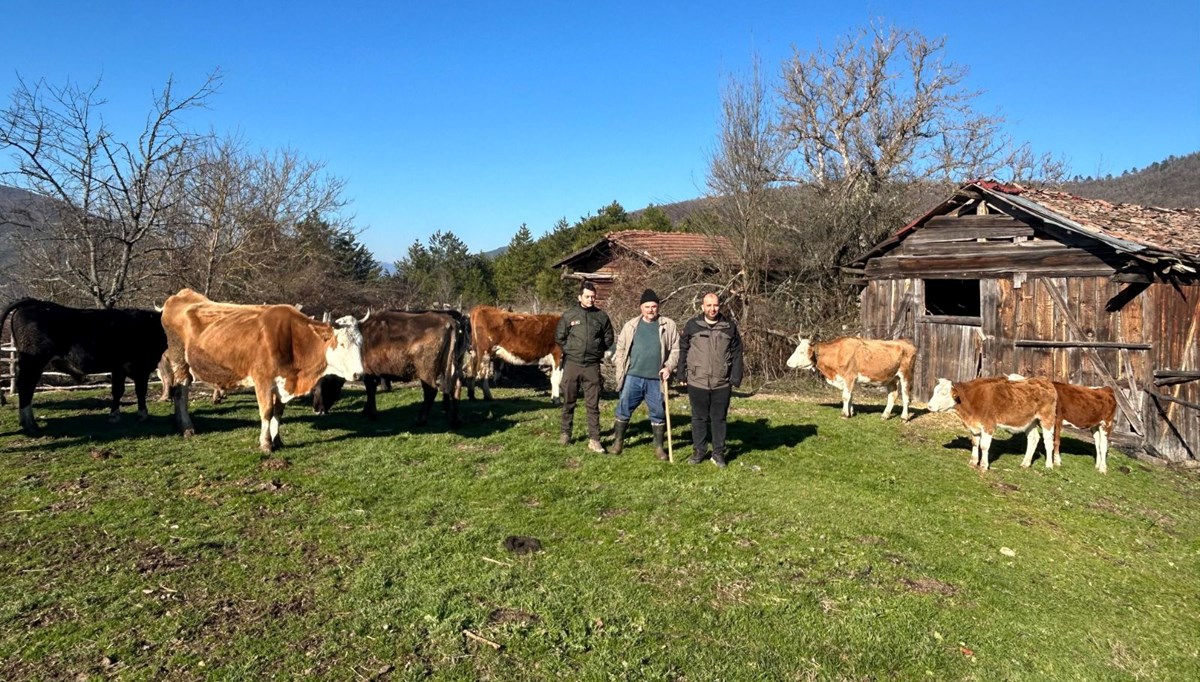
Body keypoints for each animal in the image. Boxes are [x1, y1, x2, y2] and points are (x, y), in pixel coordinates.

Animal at [0, 296, 170, 432]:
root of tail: (34, 302)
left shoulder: (119, 368)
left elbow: (117, 391)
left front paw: (114, 416)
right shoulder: (140, 366)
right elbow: (140, 391)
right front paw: (143, 414)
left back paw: (25, 421)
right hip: (34, 361)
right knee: (26, 387)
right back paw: (30, 424)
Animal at [160, 289, 364, 453]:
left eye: (361, 343)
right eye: (342, 343)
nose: (359, 374)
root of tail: (182, 295)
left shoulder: (282, 382)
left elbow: (278, 412)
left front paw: (277, 440)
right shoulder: (263, 380)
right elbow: (266, 412)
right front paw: (266, 444)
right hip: (179, 359)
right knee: (181, 391)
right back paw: (186, 427)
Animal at [314, 309, 468, 427]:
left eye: (323, 382)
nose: (316, 409)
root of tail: (448, 320)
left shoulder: (367, 373)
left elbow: (370, 391)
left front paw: (371, 414)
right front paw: (366, 412)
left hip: (426, 369)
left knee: (431, 391)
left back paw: (420, 420)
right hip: (453, 365)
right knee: (455, 386)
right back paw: (455, 419)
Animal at [787, 336, 916, 420]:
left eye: (801, 352)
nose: (788, 363)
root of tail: (905, 342)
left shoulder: (849, 376)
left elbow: (845, 396)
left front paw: (844, 414)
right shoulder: (848, 379)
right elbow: (850, 396)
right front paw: (851, 412)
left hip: (906, 375)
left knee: (906, 397)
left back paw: (904, 417)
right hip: (891, 378)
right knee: (892, 395)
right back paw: (885, 415)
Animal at [921, 374, 1056, 470]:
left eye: (944, 393)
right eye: (935, 391)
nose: (929, 406)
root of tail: (1044, 380)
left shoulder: (988, 425)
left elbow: (984, 446)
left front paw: (984, 465)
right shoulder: (974, 426)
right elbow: (975, 443)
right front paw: (973, 461)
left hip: (1047, 418)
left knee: (1048, 441)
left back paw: (1049, 465)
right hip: (1029, 421)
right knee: (1033, 438)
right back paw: (1025, 463)